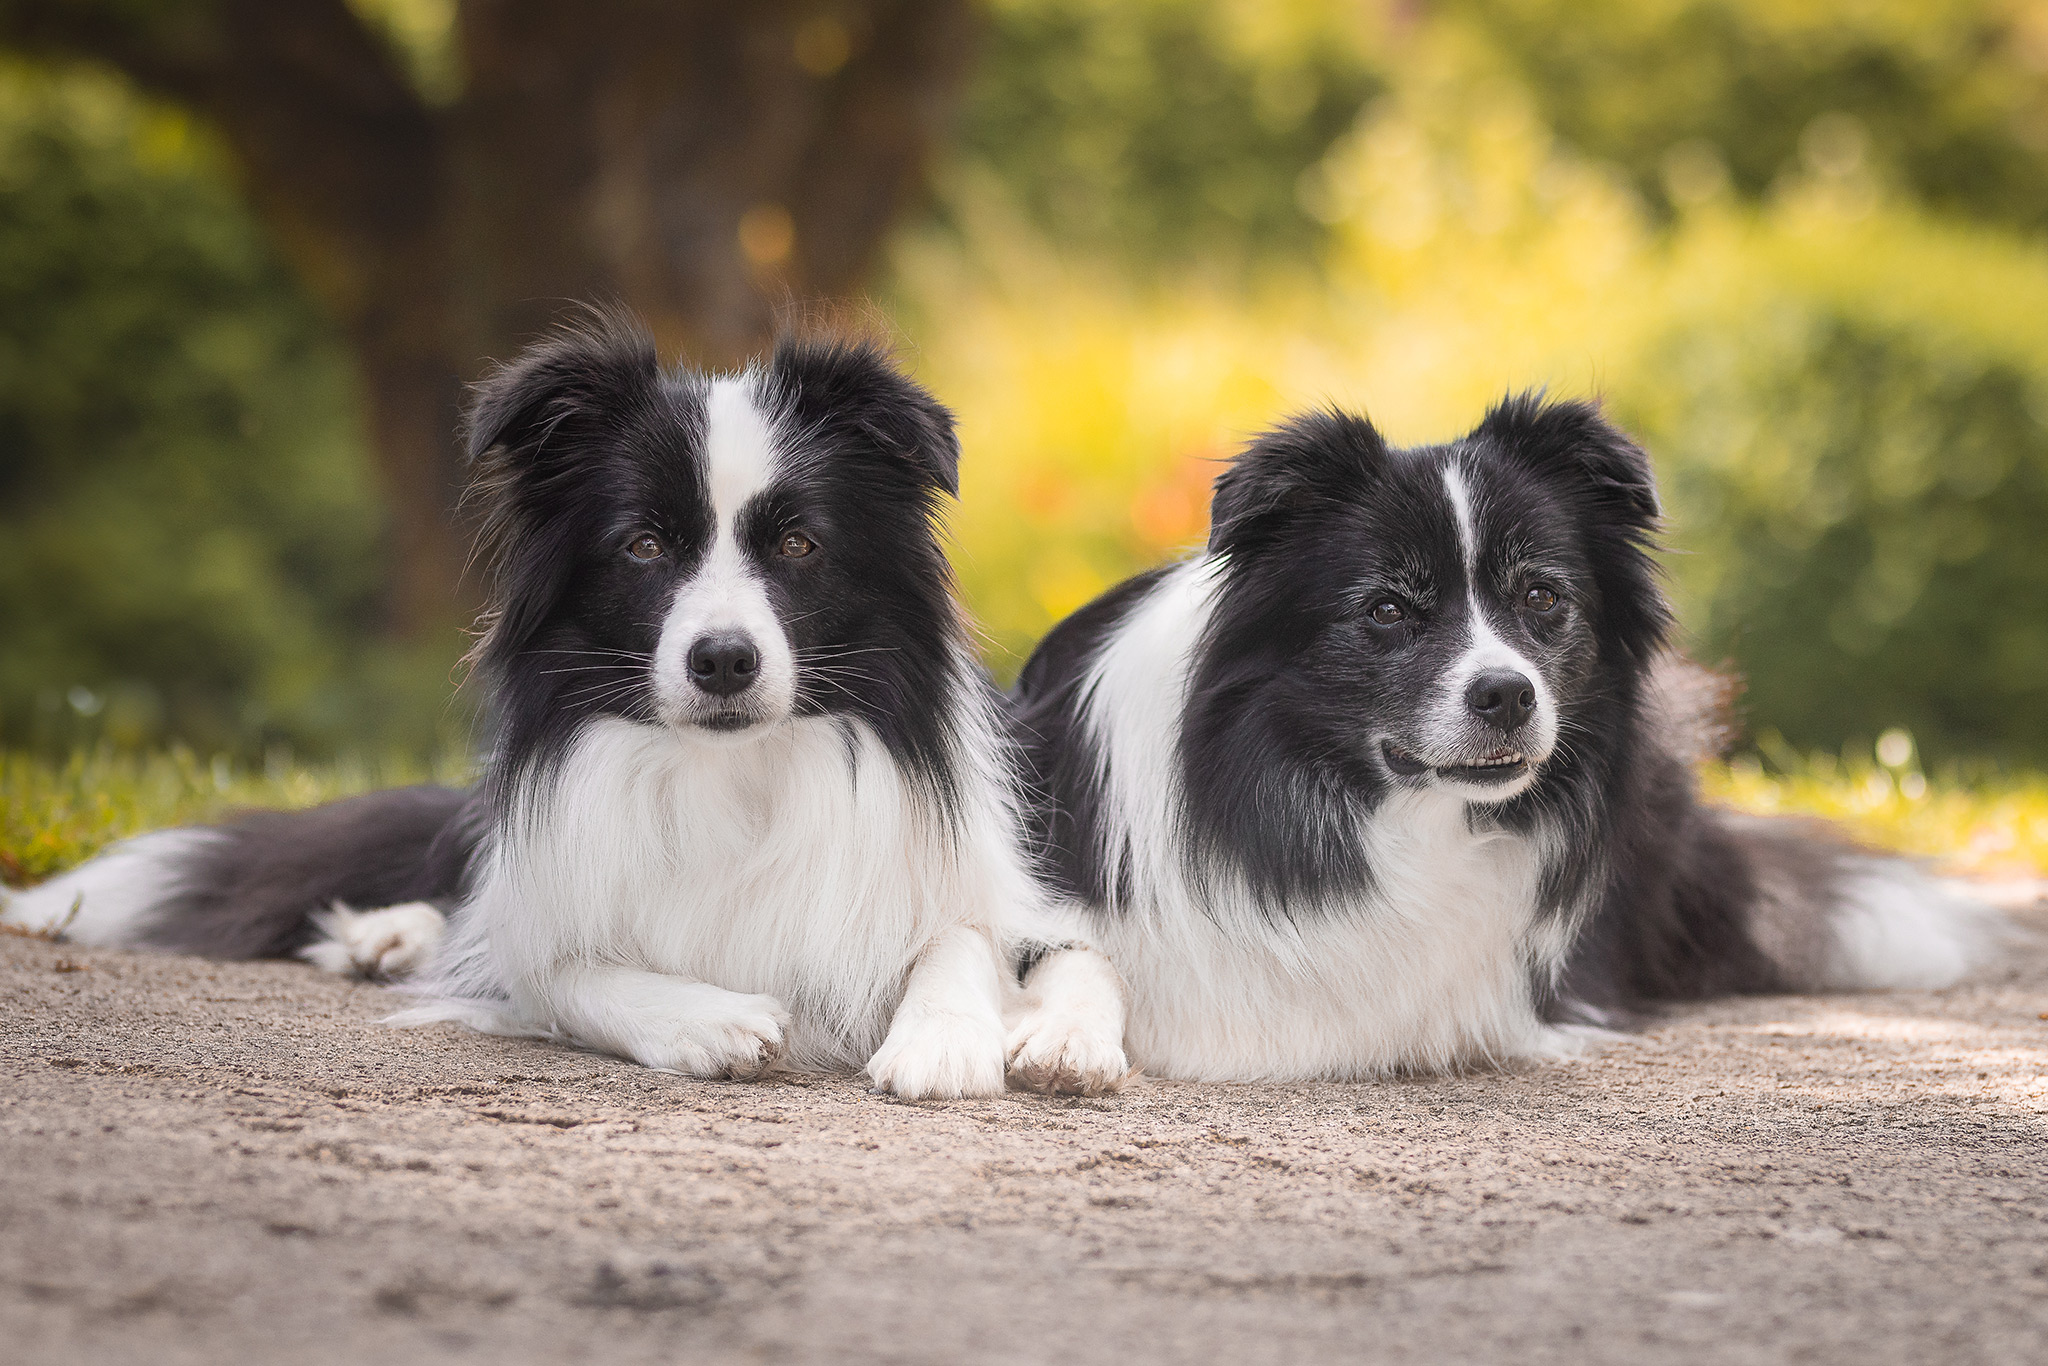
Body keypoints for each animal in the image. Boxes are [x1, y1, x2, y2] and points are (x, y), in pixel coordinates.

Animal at [4, 313, 1122, 1097]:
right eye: (645, 545)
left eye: (799, 544)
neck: (731, 770)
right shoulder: (543, 923)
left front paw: (947, 1037)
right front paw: (707, 1020)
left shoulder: (987, 884)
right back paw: (388, 933)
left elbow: (960, 936)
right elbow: (565, 971)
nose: (723, 661)